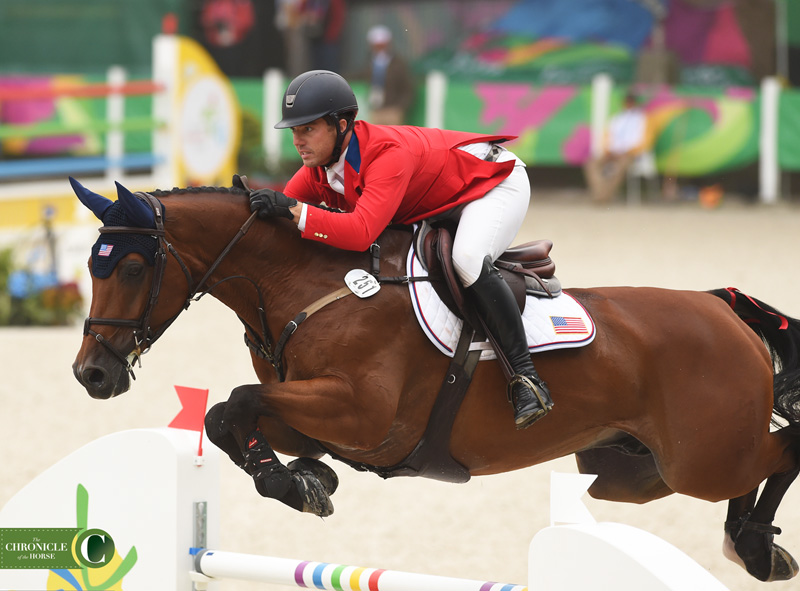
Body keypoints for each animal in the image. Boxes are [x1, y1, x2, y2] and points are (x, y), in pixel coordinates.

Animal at [70, 178, 800, 584]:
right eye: (90, 265)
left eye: (131, 267)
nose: (91, 373)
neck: (309, 287)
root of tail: (721, 307)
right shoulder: (330, 418)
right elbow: (233, 417)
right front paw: (307, 479)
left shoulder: (361, 413)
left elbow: (234, 405)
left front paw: (296, 483)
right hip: (632, 473)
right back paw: (752, 543)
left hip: (701, 456)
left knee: (782, 452)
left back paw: (754, 544)